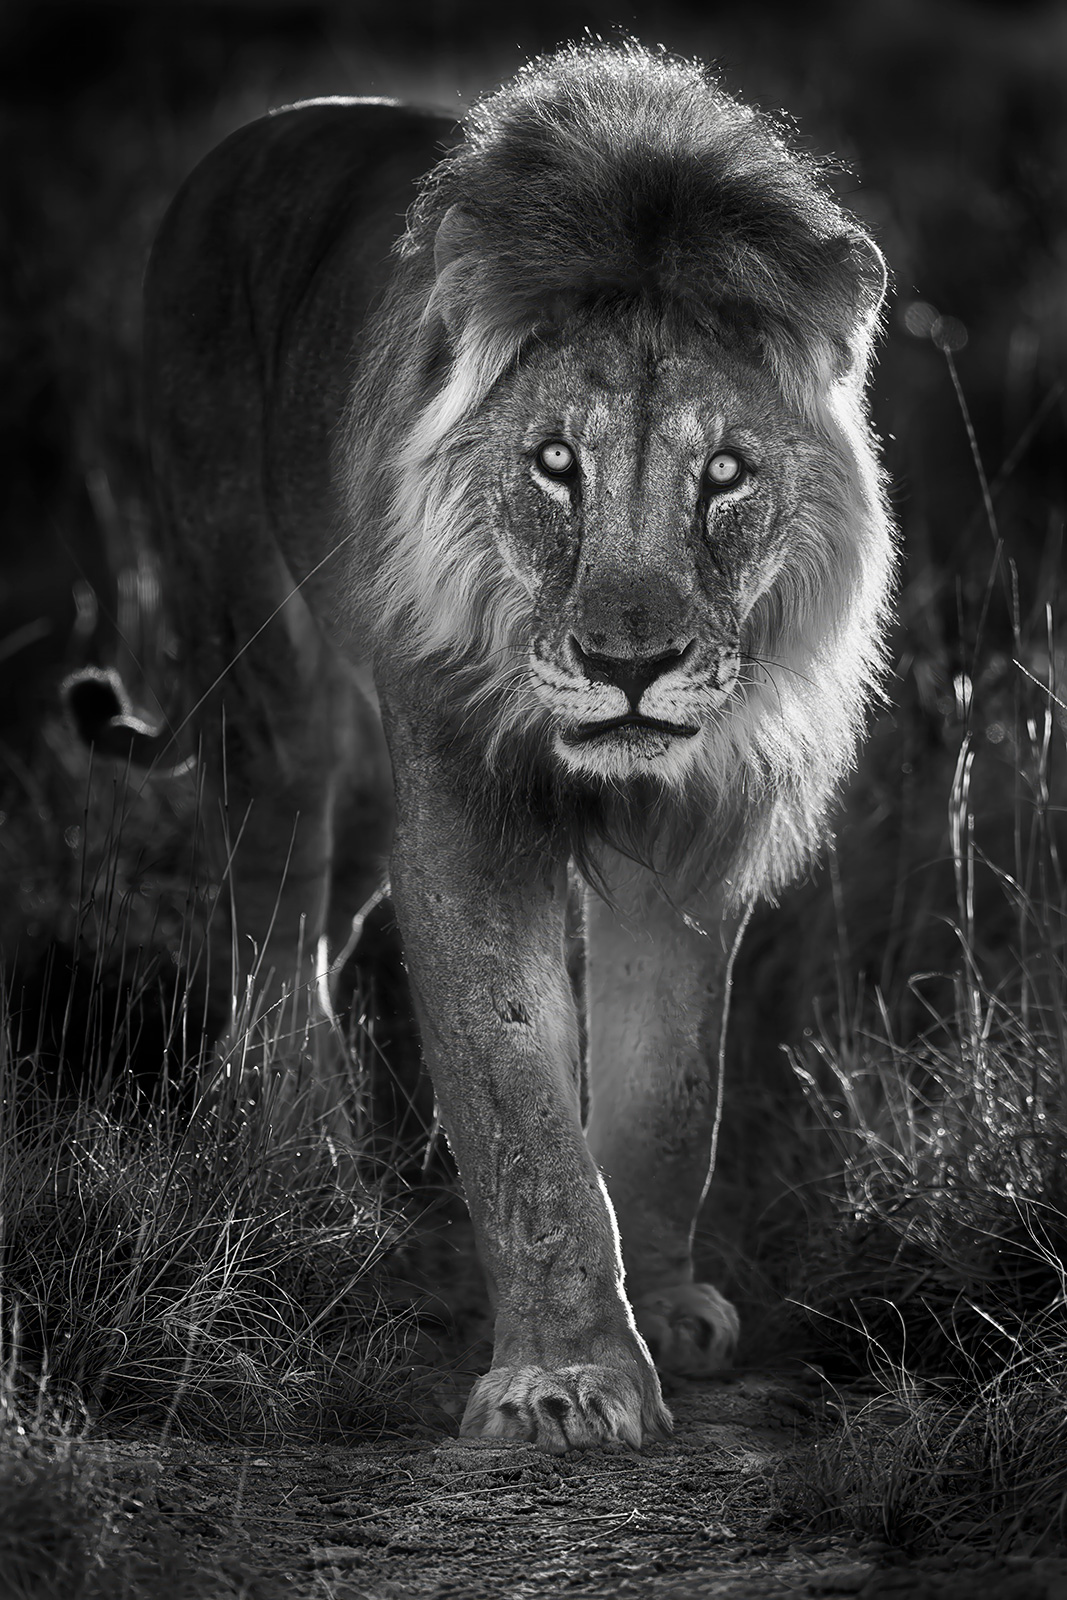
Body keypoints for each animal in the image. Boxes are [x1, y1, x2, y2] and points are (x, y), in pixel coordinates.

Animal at [115, 43, 892, 1451]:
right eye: (552, 463)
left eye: (725, 474)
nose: (630, 668)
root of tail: (252, 134)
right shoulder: (464, 807)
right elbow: (518, 1107)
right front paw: (566, 1378)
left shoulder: (688, 837)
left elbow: (669, 1095)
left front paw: (666, 1308)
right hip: (256, 661)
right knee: (269, 911)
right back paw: (297, 1160)